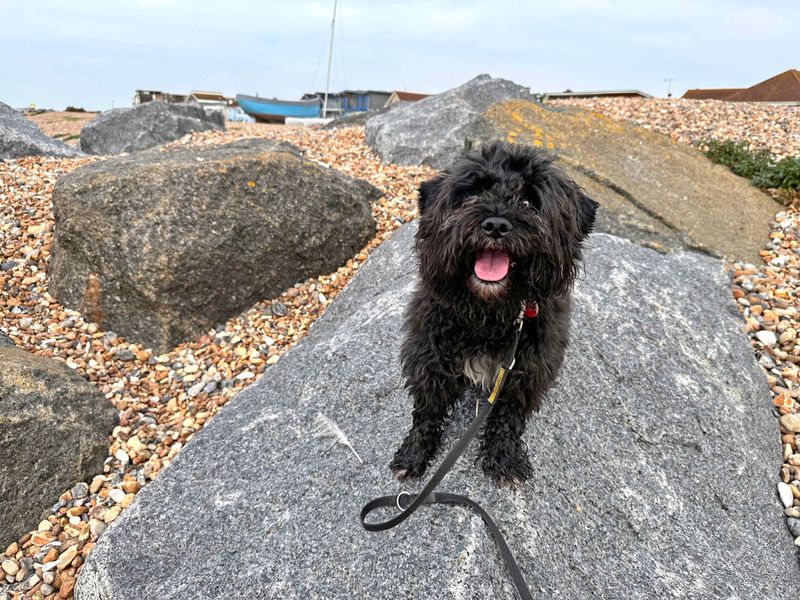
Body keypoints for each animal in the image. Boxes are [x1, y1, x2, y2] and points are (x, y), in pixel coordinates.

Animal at [390, 142, 596, 488]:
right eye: (472, 194)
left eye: (529, 201)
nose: (497, 224)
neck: (488, 312)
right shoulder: (429, 354)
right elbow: (427, 408)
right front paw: (413, 453)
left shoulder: (526, 369)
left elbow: (508, 417)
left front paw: (504, 457)